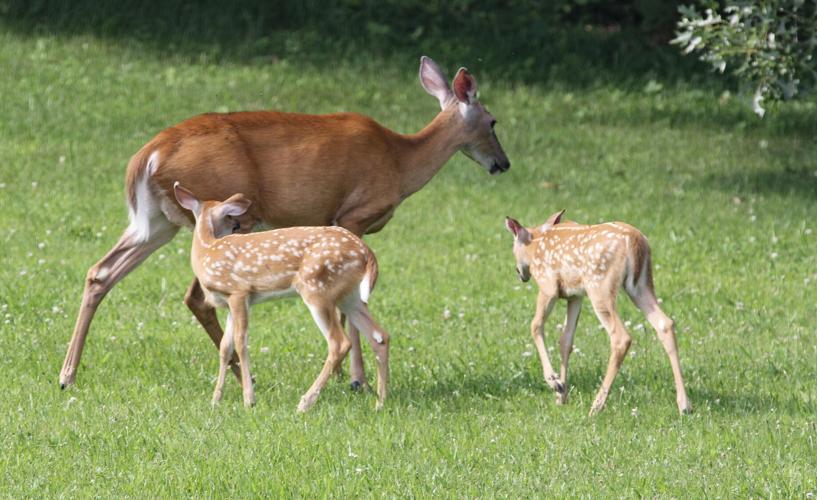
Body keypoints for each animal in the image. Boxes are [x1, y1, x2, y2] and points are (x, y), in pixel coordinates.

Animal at [173, 182, 389, 410]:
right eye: (230, 219)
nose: (238, 225)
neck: (206, 250)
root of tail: (366, 252)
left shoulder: (239, 292)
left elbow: (241, 342)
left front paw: (249, 400)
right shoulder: (232, 300)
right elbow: (225, 347)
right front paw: (215, 400)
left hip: (317, 289)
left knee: (339, 343)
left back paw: (304, 403)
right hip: (350, 296)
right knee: (380, 336)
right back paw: (380, 402)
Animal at [504, 211, 692, 415]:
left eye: (513, 245)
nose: (520, 273)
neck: (535, 243)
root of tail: (635, 240)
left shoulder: (548, 286)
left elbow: (535, 326)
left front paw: (554, 382)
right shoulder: (575, 295)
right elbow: (565, 340)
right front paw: (561, 395)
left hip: (600, 285)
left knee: (621, 337)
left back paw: (596, 405)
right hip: (640, 285)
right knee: (665, 324)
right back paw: (684, 405)